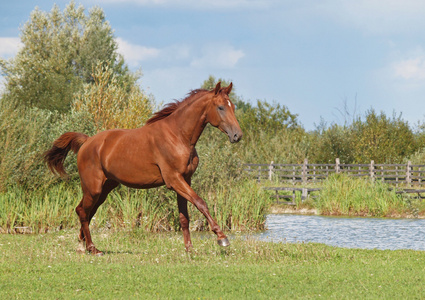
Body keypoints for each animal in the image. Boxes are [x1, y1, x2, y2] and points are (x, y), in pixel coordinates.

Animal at [44, 82, 242, 255]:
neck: (178, 136)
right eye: (221, 107)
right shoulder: (174, 180)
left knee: (86, 211)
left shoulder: (185, 180)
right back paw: (92, 248)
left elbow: (184, 217)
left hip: (105, 189)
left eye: (233, 107)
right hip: (93, 188)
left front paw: (189, 249)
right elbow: (201, 203)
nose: (237, 136)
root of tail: (87, 142)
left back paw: (82, 245)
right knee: (83, 212)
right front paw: (222, 238)